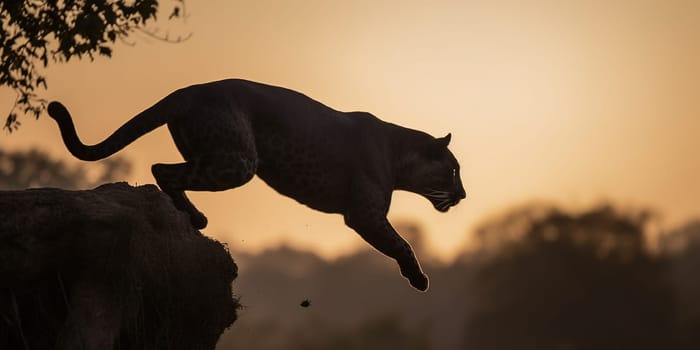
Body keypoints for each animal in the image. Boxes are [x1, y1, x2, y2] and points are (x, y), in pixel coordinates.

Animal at [47, 78, 464, 290]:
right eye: (454, 170)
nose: (463, 195)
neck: (399, 155)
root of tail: (186, 91)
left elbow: (399, 241)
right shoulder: (365, 214)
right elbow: (401, 242)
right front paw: (419, 278)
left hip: (214, 155)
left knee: (165, 169)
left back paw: (195, 219)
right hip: (237, 162)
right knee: (161, 169)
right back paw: (195, 219)